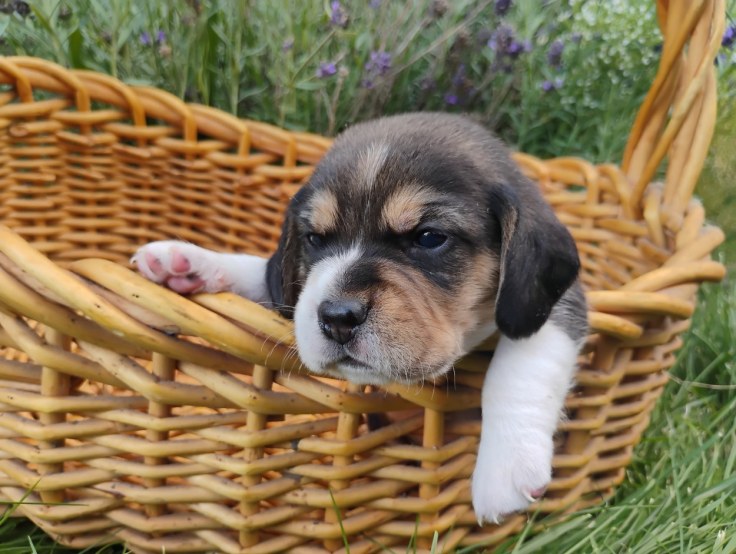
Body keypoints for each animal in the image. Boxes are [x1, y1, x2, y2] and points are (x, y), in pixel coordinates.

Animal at [132, 112, 588, 524]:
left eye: (429, 238)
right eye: (315, 239)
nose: (337, 317)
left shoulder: (562, 305)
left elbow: (520, 365)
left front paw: (505, 468)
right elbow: (268, 279)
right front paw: (185, 263)